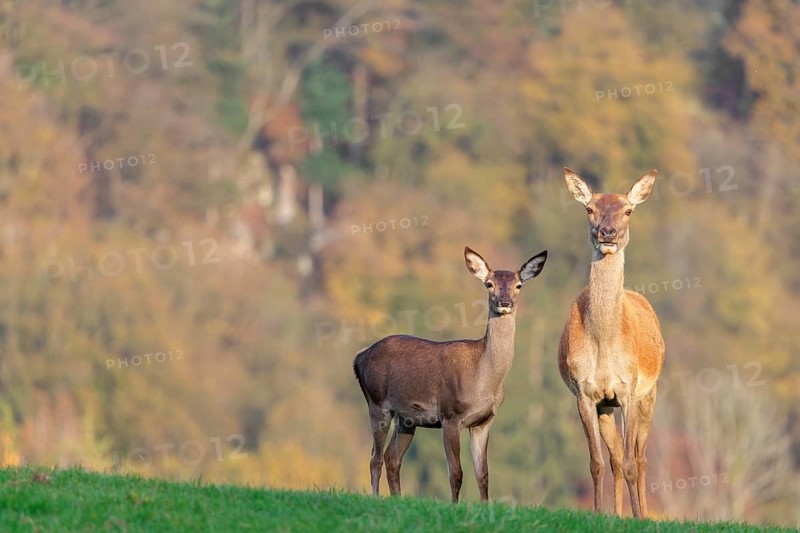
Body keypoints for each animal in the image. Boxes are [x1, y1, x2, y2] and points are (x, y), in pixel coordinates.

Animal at [353, 246, 548, 502]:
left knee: (391, 458)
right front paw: (454, 505)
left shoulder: (484, 422)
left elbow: (483, 474)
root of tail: (360, 357)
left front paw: (485, 507)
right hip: (377, 402)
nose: (504, 302)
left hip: (406, 418)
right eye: (489, 284)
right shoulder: (450, 415)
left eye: (519, 285)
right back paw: (376, 498)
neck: (484, 380)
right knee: (374, 458)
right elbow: (456, 472)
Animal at [559, 168, 665, 519]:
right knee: (616, 458)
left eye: (628, 210)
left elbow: (632, 463)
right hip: (607, 404)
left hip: (650, 393)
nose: (608, 232)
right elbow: (597, 463)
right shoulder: (585, 393)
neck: (604, 344)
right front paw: (599, 513)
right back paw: (617, 513)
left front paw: (640, 518)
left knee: (640, 458)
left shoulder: (629, 390)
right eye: (589, 209)